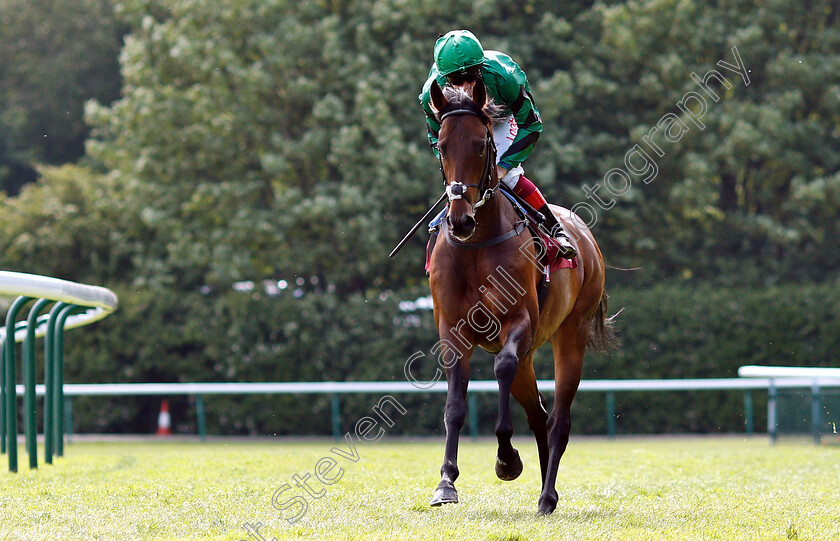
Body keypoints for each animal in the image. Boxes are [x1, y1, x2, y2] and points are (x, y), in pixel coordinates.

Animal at [426, 77, 612, 516]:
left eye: (481, 144)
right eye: (442, 145)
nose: (460, 220)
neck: (477, 245)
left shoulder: (520, 324)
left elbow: (502, 368)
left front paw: (507, 459)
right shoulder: (451, 331)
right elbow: (454, 407)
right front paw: (446, 483)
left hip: (571, 334)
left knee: (558, 418)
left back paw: (546, 496)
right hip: (533, 353)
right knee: (539, 413)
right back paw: (547, 489)